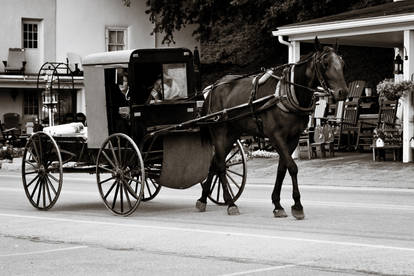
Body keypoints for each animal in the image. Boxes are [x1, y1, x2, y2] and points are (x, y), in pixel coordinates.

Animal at [196, 37, 348, 219]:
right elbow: (292, 167)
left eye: (342, 63)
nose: (343, 92)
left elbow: (282, 169)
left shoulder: (293, 138)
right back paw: (230, 202)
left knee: (214, 163)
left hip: (232, 134)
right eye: (325, 63)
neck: (287, 93)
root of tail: (214, 88)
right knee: (219, 165)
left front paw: (278, 204)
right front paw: (297, 205)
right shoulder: (276, 136)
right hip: (219, 132)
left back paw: (203, 199)